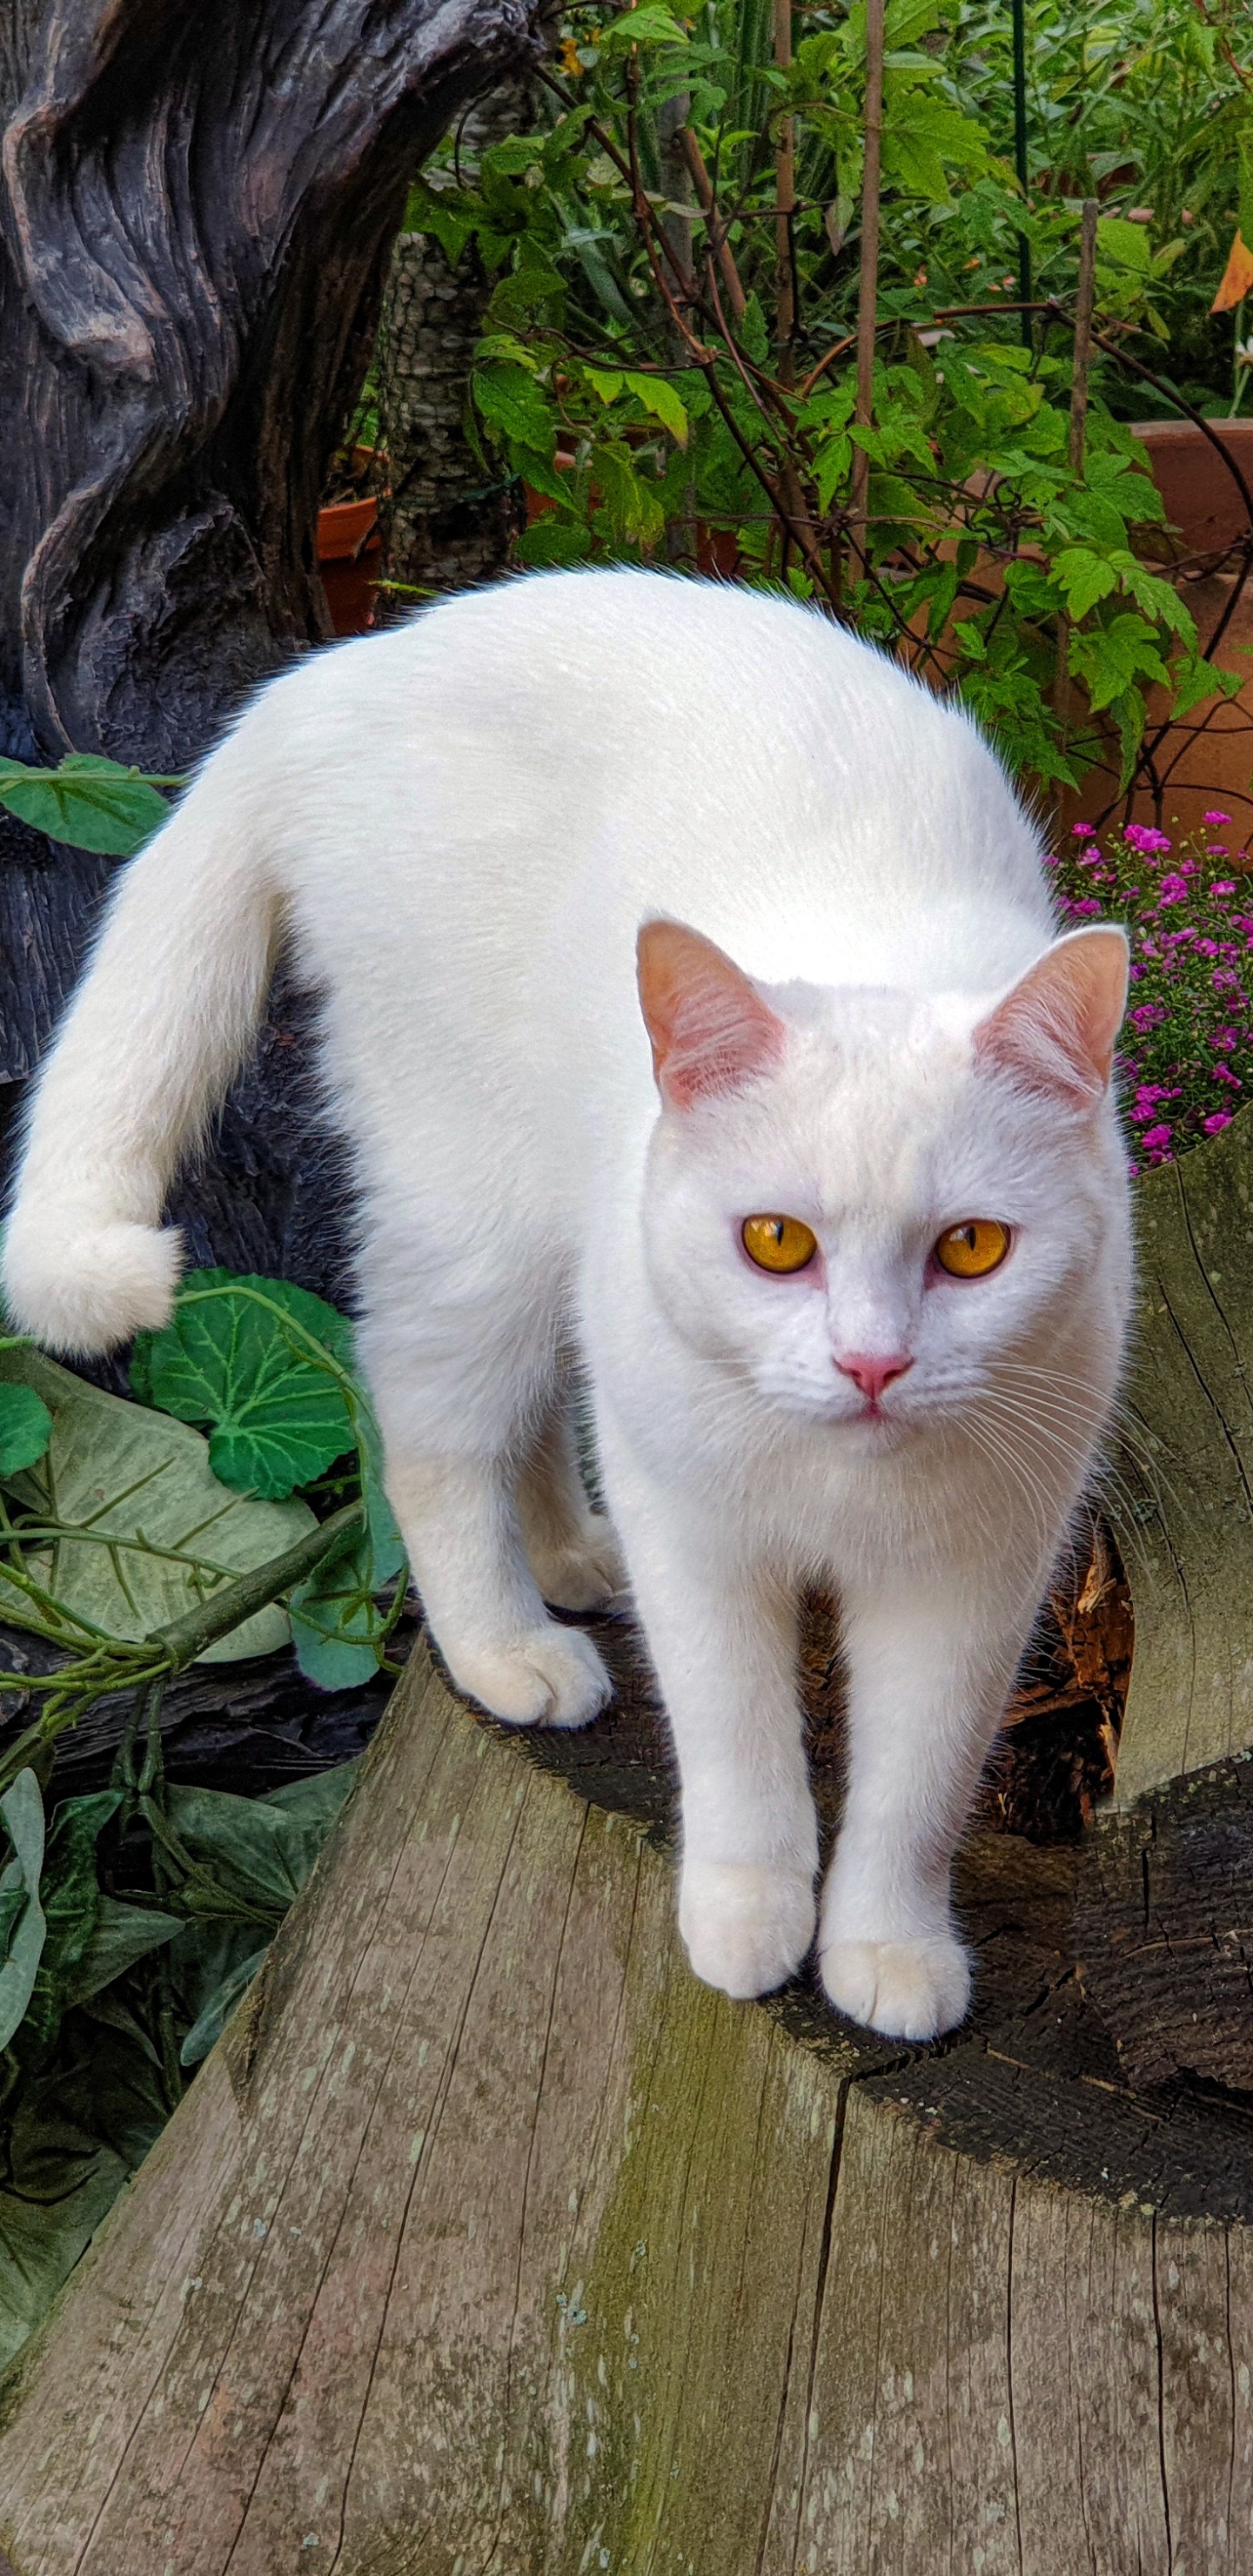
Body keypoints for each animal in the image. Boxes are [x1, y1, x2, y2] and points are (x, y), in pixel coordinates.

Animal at [2, 574, 1134, 2040]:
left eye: (974, 1249)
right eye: (776, 1243)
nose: (872, 1365)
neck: (841, 1480)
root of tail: (341, 672)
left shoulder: (970, 1582)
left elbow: (913, 1791)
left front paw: (885, 1948)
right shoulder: (701, 1542)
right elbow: (740, 1745)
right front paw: (749, 1916)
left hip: (548, 1235)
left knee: (536, 1407)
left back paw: (570, 1558)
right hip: (470, 1218)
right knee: (429, 1434)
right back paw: (506, 1648)